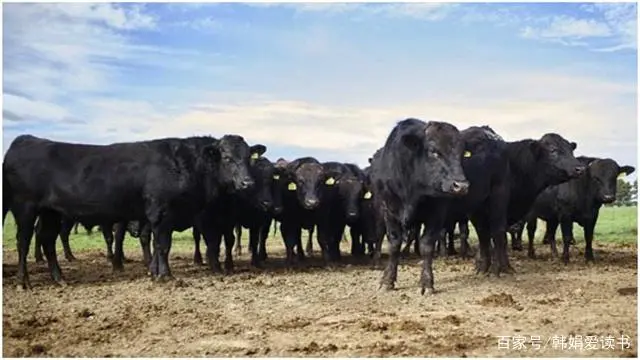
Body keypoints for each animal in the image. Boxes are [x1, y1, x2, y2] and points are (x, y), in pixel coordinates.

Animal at [3, 134, 258, 288]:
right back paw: (23, 281)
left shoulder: (155, 218)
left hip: (51, 212)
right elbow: (163, 245)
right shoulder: (161, 213)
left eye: (249, 157)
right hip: (25, 208)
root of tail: (25, 140)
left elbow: (155, 244)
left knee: (47, 240)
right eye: (227, 157)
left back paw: (59, 278)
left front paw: (153, 272)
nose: (248, 183)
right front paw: (165, 276)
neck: (182, 165)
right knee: (24, 241)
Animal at [370, 119, 470, 296]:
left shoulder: (437, 214)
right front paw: (387, 280)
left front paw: (426, 283)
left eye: (461, 153)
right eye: (433, 151)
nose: (461, 186)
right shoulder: (389, 212)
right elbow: (394, 244)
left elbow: (427, 246)